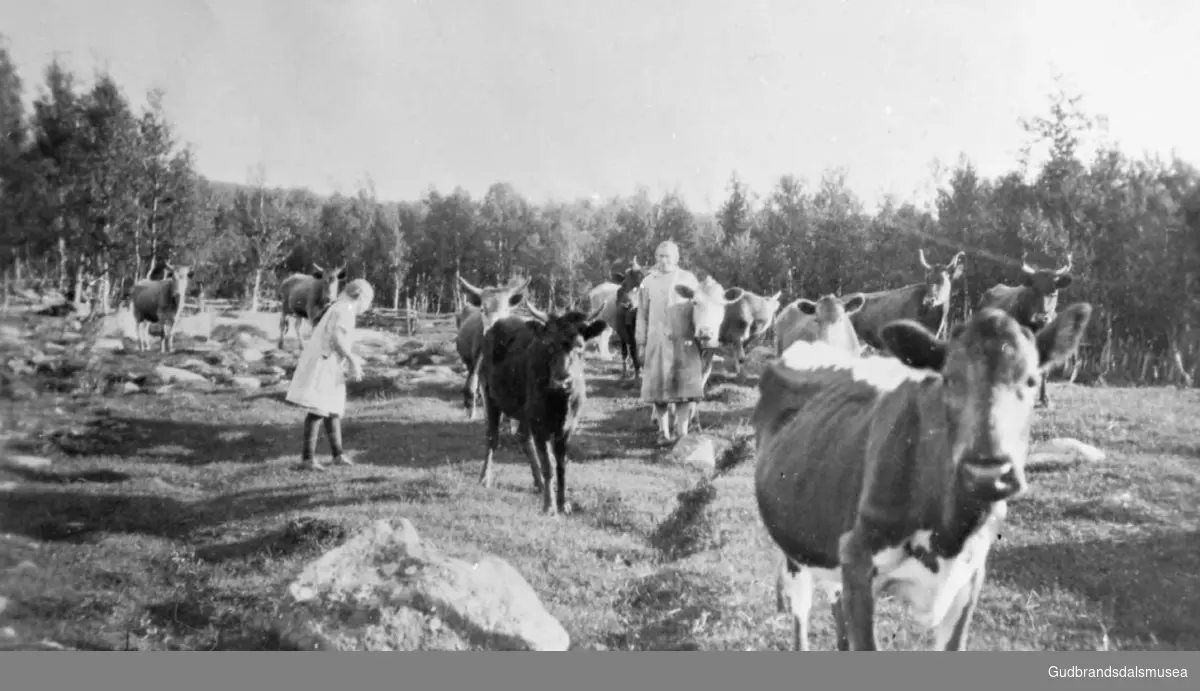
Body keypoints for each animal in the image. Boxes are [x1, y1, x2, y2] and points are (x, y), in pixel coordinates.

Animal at [475, 302, 609, 513]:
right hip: (489, 396)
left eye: (580, 345)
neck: (560, 403)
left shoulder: (568, 427)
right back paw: (485, 478)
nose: (562, 380)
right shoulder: (540, 425)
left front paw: (563, 503)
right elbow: (548, 466)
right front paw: (549, 506)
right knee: (492, 437)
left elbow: (561, 466)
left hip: (524, 412)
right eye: (549, 345)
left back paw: (537, 483)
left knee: (523, 437)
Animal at [753, 301, 1094, 647]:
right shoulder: (856, 558)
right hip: (795, 546)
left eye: (1031, 380)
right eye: (949, 380)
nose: (987, 473)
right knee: (801, 614)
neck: (950, 532)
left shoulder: (969, 577)